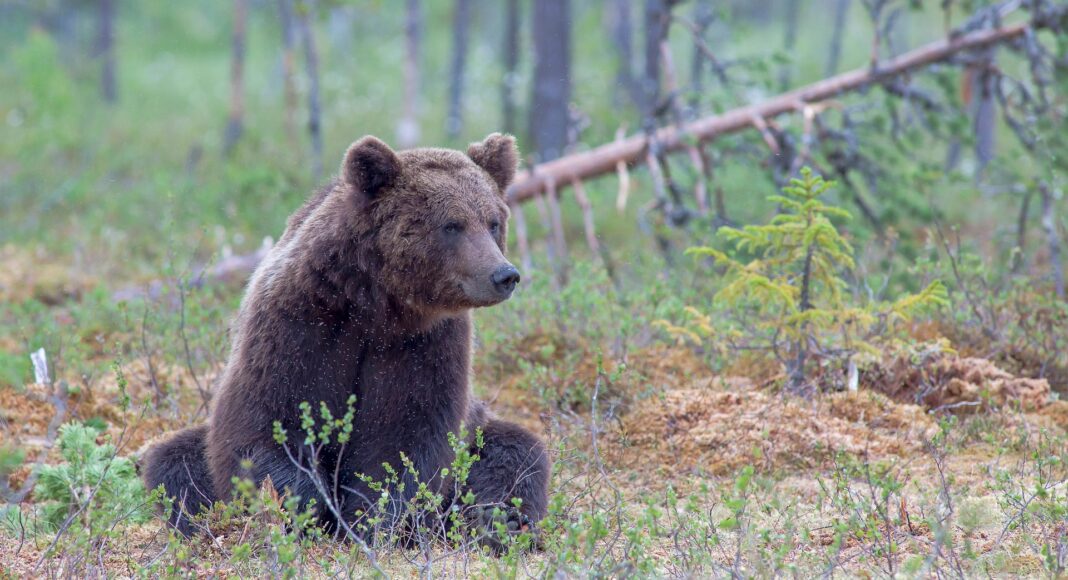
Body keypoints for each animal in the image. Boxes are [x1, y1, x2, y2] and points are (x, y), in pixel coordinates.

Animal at [141, 133, 550, 547]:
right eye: (452, 225)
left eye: (493, 221)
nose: (504, 275)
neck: (375, 303)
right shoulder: (298, 324)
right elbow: (267, 420)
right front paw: (302, 508)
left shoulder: (425, 344)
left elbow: (405, 437)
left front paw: (372, 521)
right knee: (175, 462)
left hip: (480, 426)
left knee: (515, 454)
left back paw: (497, 521)